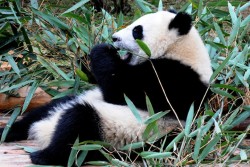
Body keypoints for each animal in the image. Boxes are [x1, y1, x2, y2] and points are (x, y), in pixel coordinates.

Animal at [0, 10, 213, 166]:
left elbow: (123, 90)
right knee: (43, 111)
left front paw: (102, 49)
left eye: (137, 30)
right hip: (71, 102)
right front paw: (84, 57)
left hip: (116, 134)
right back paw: (8, 131)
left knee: (77, 126)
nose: (114, 38)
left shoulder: (176, 79)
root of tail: (44, 131)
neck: (180, 50)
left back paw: (45, 155)